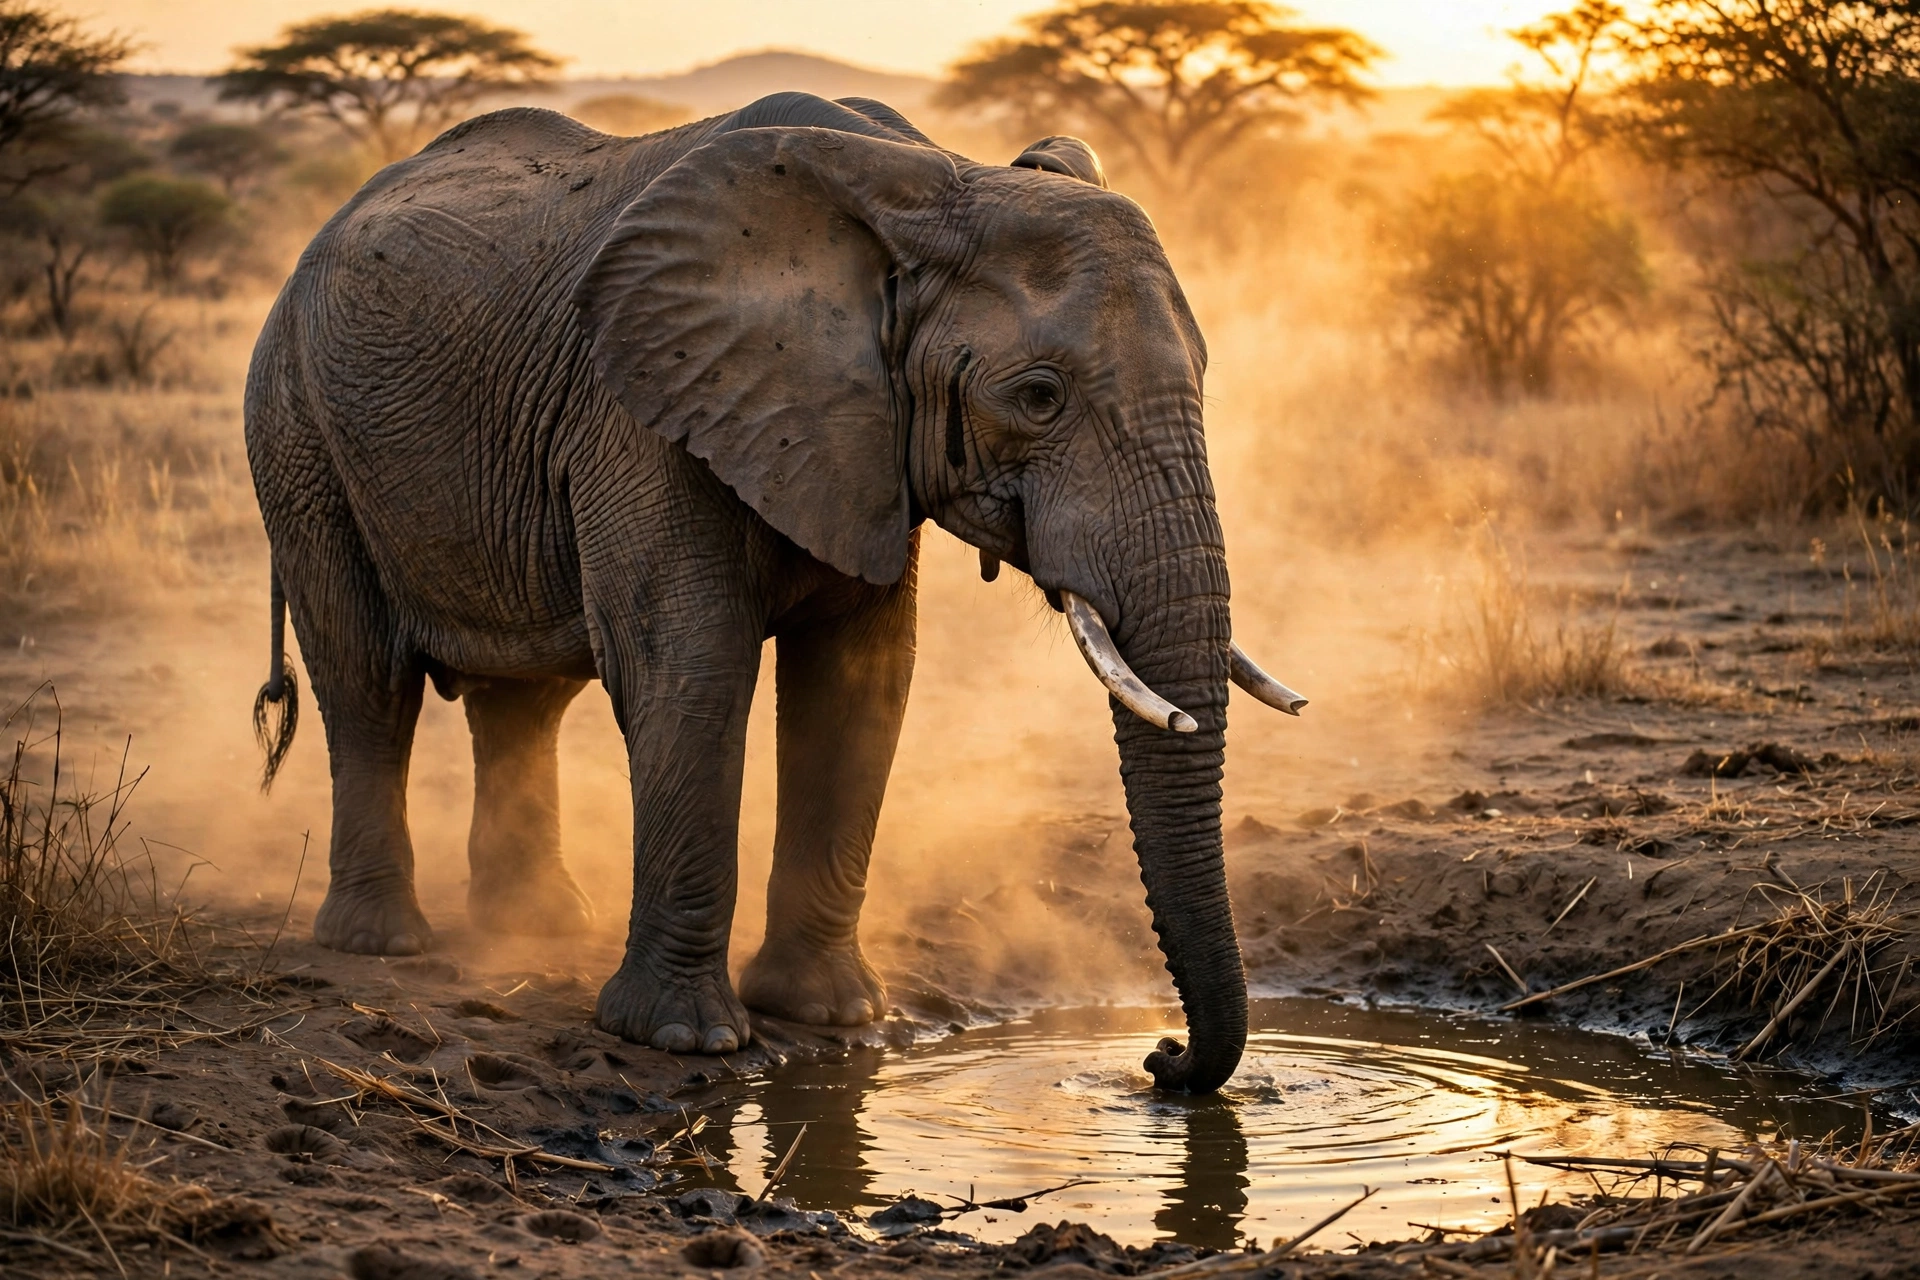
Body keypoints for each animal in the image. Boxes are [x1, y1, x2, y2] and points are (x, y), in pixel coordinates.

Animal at [244, 90, 1303, 1094]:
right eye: (1039, 396)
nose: (1160, 1059)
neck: (927, 179)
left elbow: (861, 684)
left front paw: (831, 1017)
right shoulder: (644, 405)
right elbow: (691, 670)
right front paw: (685, 1040)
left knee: (525, 700)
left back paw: (536, 927)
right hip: (296, 429)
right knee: (367, 681)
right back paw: (382, 943)